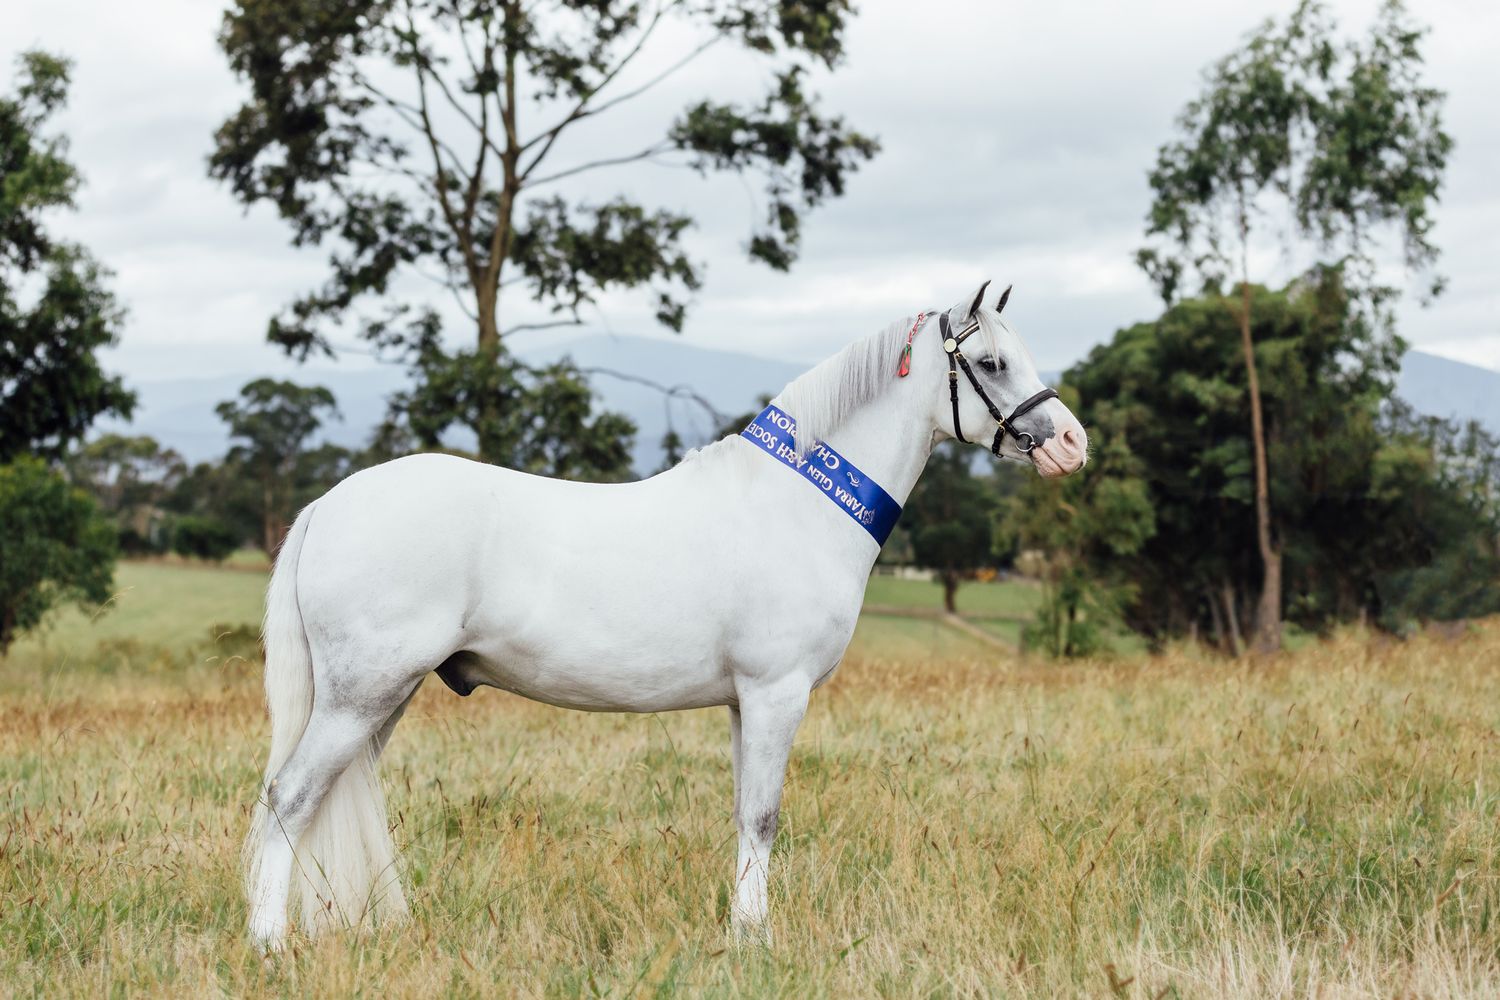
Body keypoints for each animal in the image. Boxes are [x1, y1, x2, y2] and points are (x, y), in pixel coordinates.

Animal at [244, 281, 1088, 948]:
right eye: (991, 363)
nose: (1071, 444)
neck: (796, 504)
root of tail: (328, 504)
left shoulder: (747, 703)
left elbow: (745, 816)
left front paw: (742, 931)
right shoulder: (777, 693)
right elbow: (764, 818)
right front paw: (757, 942)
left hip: (378, 699)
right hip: (360, 697)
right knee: (290, 799)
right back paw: (270, 943)